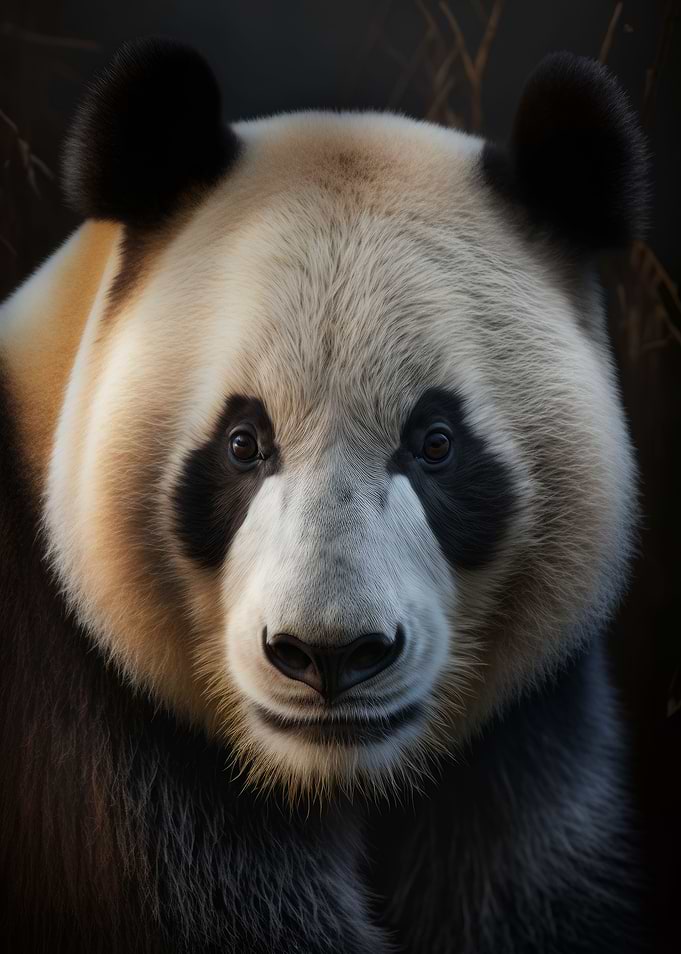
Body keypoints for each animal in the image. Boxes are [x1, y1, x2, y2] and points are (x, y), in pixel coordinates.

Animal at [0, 37, 648, 954]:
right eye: (243, 443)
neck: (324, 773)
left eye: (435, 444)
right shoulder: (92, 756)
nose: (330, 654)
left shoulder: (528, 746)